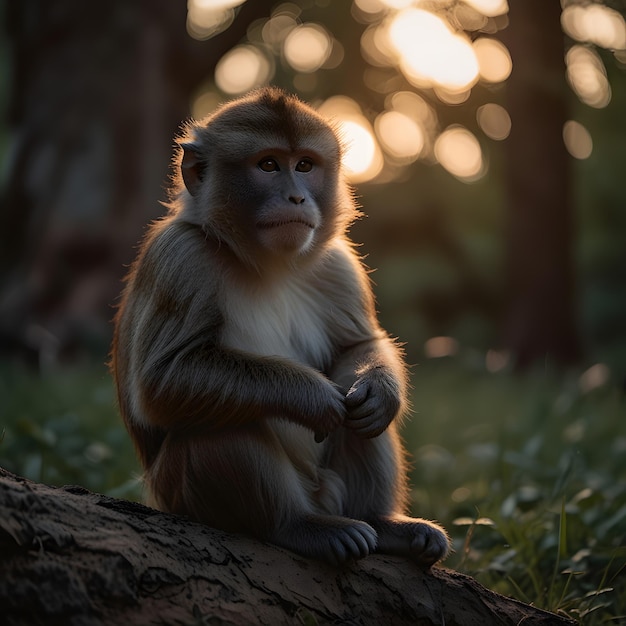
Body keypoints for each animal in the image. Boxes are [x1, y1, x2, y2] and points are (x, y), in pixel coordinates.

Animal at [108, 86, 448, 564]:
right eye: (268, 165)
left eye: (304, 165)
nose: (297, 198)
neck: (268, 264)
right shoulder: (181, 257)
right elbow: (164, 378)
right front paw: (313, 397)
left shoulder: (337, 264)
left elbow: (357, 348)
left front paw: (380, 389)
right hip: (180, 492)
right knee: (225, 421)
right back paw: (296, 525)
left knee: (360, 414)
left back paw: (383, 523)